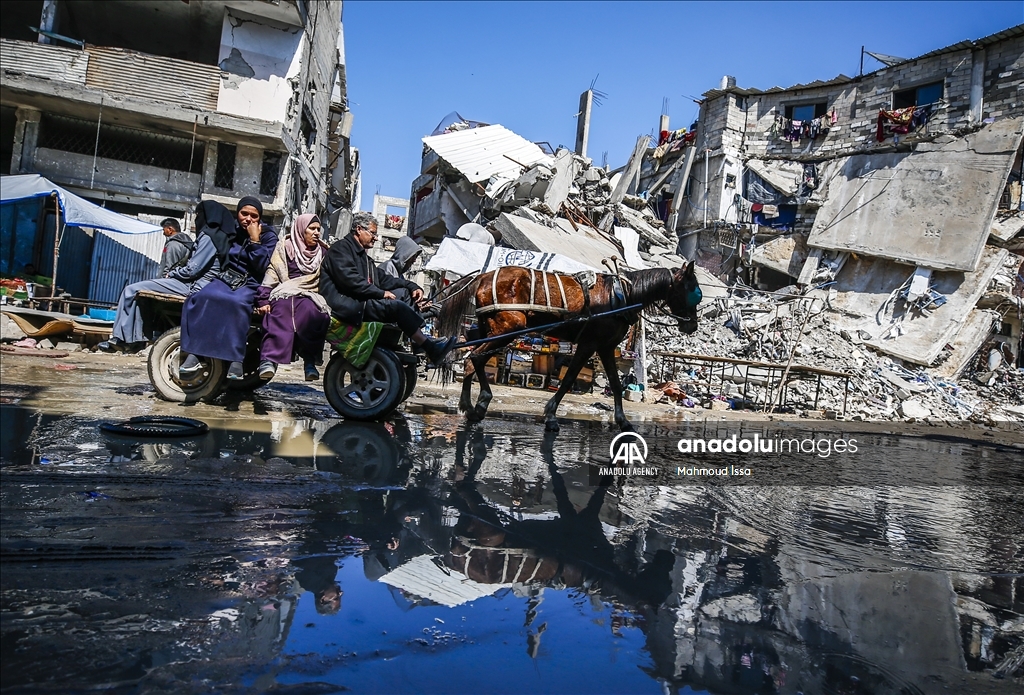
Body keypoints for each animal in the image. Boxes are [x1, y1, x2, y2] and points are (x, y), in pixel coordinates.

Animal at [436, 264, 700, 431]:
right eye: (693, 290)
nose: (693, 326)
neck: (622, 296)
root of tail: (483, 276)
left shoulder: (605, 347)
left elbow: (615, 385)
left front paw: (623, 421)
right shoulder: (589, 344)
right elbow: (568, 379)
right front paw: (551, 415)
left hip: (488, 328)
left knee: (472, 359)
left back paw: (469, 405)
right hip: (508, 327)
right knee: (476, 358)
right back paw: (480, 404)